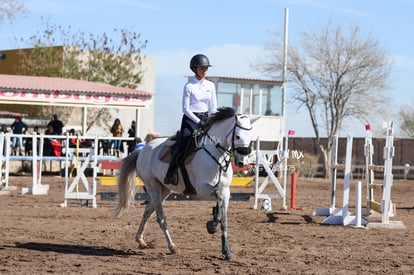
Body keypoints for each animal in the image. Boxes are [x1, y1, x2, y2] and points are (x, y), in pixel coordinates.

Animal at [113, 108, 252, 260]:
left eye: (250, 137)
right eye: (237, 136)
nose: (242, 162)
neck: (216, 155)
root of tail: (142, 150)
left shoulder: (226, 191)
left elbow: (224, 218)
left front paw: (227, 251)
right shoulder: (202, 189)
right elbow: (218, 199)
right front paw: (213, 225)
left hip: (165, 190)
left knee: (147, 211)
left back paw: (141, 240)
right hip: (153, 186)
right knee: (160, 218)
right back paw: (172, 247)